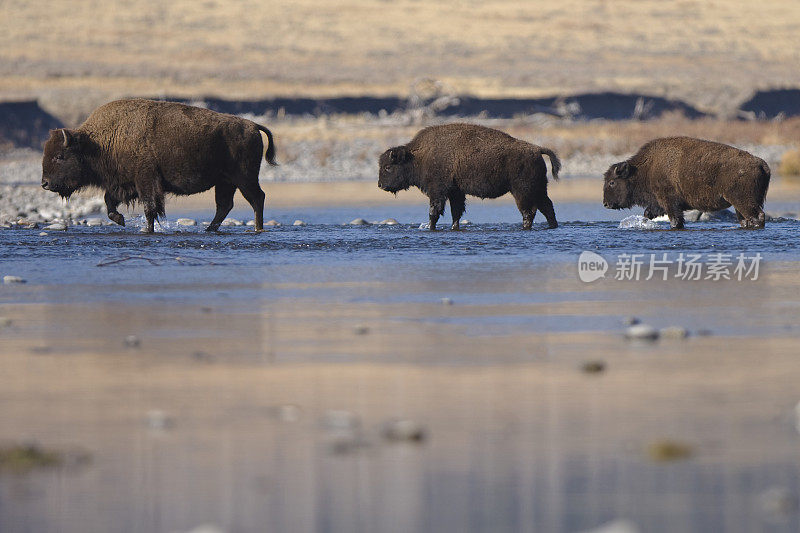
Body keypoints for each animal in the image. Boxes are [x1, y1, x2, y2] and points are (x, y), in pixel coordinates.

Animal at [41, 98, 278, 232]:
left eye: (60, 156)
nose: (44, 183)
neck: (99, 142)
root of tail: (252, 125)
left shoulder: (145, 180)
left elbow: (149, 207)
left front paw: (147, 230)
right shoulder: (125, 184)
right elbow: (109, 201)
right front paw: (121, 220)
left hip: (244, 178)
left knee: (257, 198)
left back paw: (257, 229)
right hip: (225, 182)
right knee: (225, 205)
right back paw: (210, 230)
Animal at [378, 123, 560, 230]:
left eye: (388, 167)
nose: (380, 185)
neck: (418, 156)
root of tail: (537, 149)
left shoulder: (438, 191)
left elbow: (434, 212)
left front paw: (431, 227)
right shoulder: (455, 192)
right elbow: (456, 212)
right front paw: (454, 228)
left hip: (521, 191)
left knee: (528, 211)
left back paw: (526, 227)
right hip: (539, 189)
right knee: (547, 208)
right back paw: (552, 226)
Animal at [608, 136, 768, 228]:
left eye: (612, 182)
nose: (606, 203)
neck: (647, 167)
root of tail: (760, 163)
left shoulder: (669, 202)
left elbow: (675, 219)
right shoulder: (660, 203)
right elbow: (651, 211)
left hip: (743, 201)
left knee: (757, 216)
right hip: (740, 205)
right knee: (745, 219)